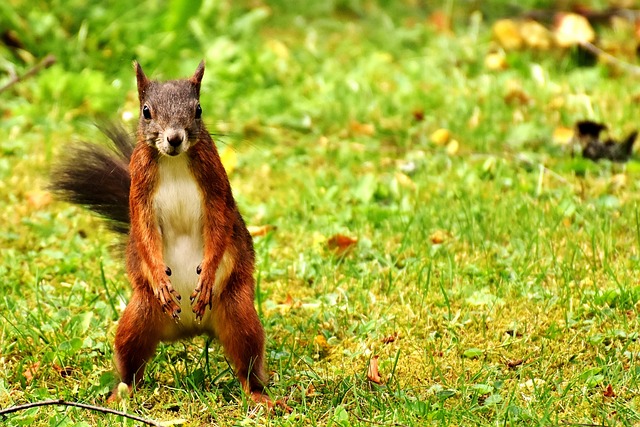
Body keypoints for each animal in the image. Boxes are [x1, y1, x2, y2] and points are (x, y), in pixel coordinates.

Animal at [50, 60, 268, 404]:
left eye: (198, 110)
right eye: (146, 111)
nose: (175, 138)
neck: (174, 162)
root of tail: (190, 330)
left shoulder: (217, 187)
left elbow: (220, 227)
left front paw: (207, 275)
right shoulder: (139, 193)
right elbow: (144, 232)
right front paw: (159, 277)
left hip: (239, 313)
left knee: (248, 363)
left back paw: (260, 397)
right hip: (138, 318)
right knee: (130, 363)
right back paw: (119, 395)